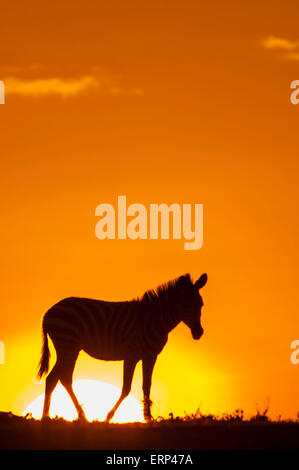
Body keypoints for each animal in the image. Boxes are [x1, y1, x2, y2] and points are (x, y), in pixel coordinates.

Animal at [38, 272, 209, 422]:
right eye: (186, 306)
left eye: (200, 305)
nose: (199, 333)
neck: (154, 319)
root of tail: (48, 312)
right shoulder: (131, 355)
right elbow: (126, 388)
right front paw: (108, 417)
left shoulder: (150, 356)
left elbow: (146, 386)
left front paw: (148, 418)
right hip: (68, 346)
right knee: (61, 378)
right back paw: (74, 417)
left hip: (68, 348)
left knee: (55, 378)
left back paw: (52, 417)